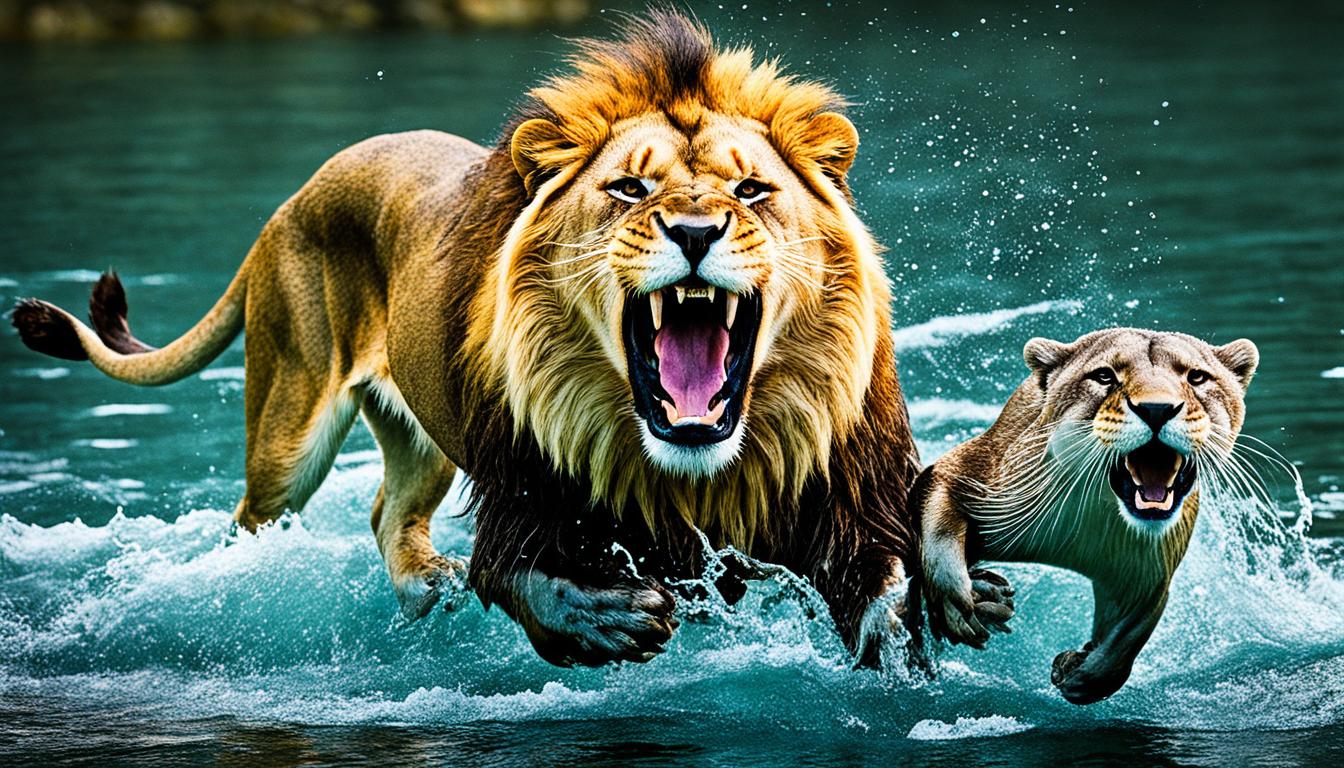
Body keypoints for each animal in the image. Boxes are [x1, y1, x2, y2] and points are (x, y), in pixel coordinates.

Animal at [12, 12, 933, 667]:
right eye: (629, 189)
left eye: (751, 191)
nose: (697, 230)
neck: (689, 470)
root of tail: (294, 198)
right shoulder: (523, 486)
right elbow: (521, 577)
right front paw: (609, 623)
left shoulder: (847, 493)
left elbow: (884, 583)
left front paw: (906, 647)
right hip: (288, 429)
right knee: (252, 523)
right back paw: (244, 597)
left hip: (421, 436)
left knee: (386, 513)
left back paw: (429, 589)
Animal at [915, 328, 1259, 703]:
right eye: (1104, 376)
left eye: (1196, 377)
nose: (1156, 409)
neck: (1098, 510)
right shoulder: (973, 473)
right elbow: (941, 541)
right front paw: (961, 607)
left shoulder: (1147, 571)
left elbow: (1125, 641)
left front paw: (1077, 674)